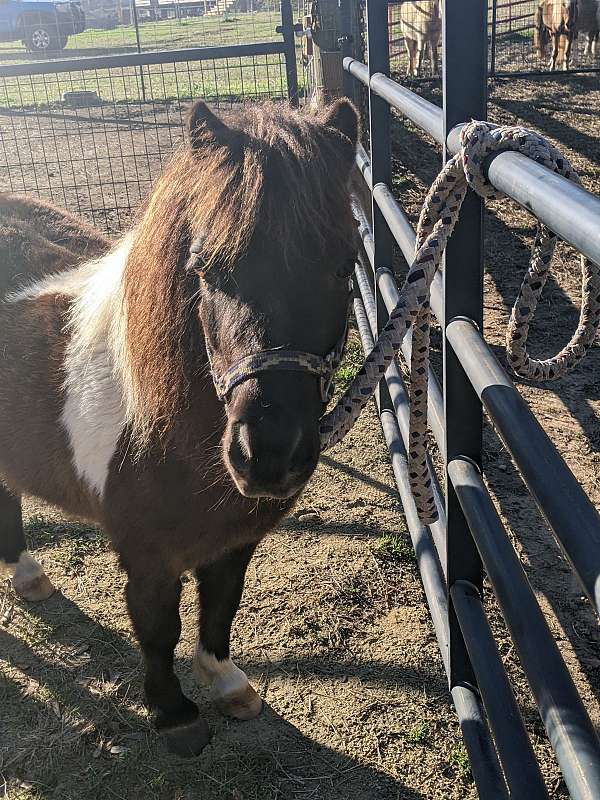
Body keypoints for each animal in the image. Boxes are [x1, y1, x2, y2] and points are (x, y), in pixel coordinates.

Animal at [0, 98, 359, 756]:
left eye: (343, 267)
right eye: (207, 268)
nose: (267, 454)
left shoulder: (236, 538)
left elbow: (221, 604)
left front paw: (227, 683)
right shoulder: (146, 553)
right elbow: (157, 625)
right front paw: (174, 715)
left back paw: (29, 574)